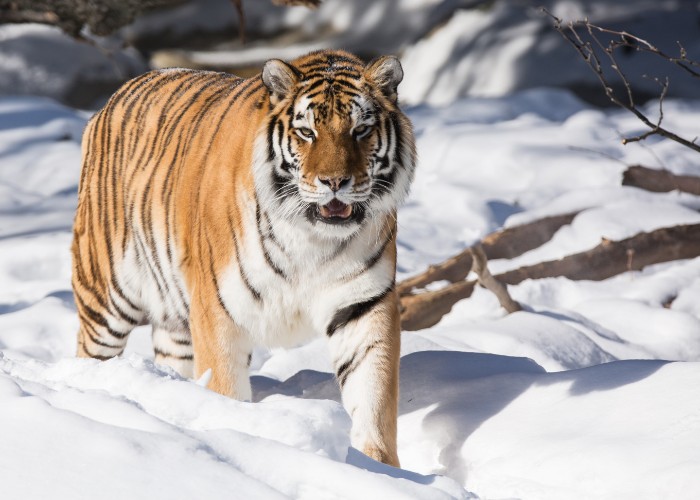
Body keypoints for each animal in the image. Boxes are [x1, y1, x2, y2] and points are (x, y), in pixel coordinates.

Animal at [72, 48, 416, 466]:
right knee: (90, 351)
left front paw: (380, 468)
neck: (311, 239)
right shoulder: (218, 311)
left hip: (174, 320)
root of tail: (112, 98)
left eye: (361, 130)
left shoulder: (363, 305)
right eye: (307, 132)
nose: (335, 182)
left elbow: (373, 398)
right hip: (105, 299)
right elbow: (226, 388)